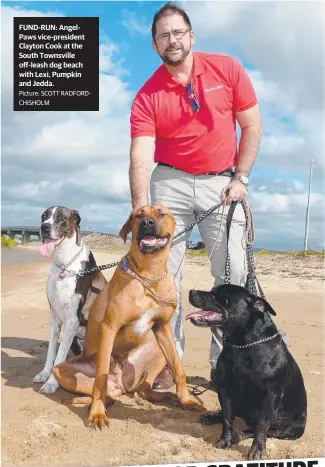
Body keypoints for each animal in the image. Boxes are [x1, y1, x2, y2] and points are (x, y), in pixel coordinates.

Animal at [33, 207, 105, 394]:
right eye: (44, 216)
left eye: (62, 218)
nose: (44, 227)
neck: (64, 264)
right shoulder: (54, 317)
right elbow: (52, 351)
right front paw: (45, 374)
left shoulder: (72, 319)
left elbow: (59, 356)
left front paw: (51, 383)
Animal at [53, 207, 202, 430]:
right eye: (138, 215)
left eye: (161, 213)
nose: (147, 222)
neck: (149, 274)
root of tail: (122, 384)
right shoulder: (110, 327)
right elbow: (100, 378)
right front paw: (97, 413)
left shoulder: (163, 327)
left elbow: (178, 367)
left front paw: (187, 400)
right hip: (60, 370)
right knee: (106, 390)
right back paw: (102, 403)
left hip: (157, 350)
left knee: (142, 389)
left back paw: (164, 396)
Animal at [186, 286, 306, 460]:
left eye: (221, 295)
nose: (191, 292)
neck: (242, 345)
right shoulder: (225, 389)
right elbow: (227, 418)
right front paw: (225, 440)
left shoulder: (271, 396)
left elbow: (262, 425)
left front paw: (257, 450)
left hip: (292, 430)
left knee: (262, 430)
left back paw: (240, 435)